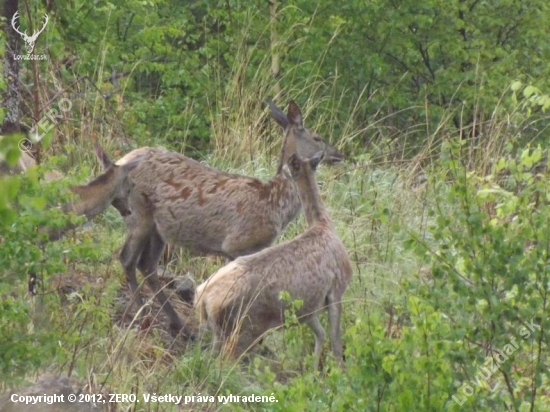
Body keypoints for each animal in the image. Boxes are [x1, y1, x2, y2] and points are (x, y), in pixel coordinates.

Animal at [196, 152, 356, 370]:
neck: (323, 225)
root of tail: (202, 298)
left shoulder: (309, 305)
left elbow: (320, 334)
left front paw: (313, 371)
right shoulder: (337, 289)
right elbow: (336, 344)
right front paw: (338, 373)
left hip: (216, 331)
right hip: (243, 330)